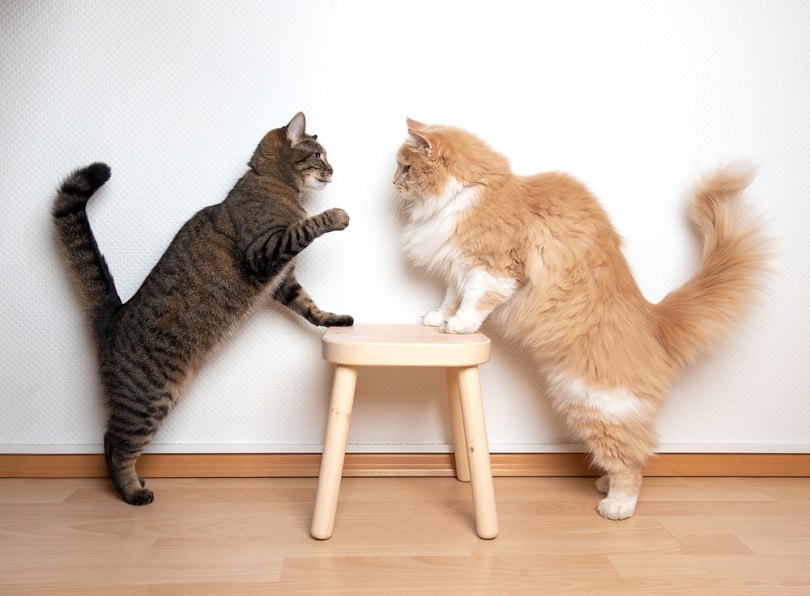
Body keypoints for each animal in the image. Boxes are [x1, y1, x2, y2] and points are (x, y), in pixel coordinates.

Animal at [52, 112, 352, 502]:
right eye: (318, 155)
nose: (332, 169)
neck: (272, 183)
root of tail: (114, 314)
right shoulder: (264, 252)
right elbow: (307, 226)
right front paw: (336, 216)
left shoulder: (283, 282)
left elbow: (308, 305)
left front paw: (333, 319)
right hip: (148, 399)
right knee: (116, 444)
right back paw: (132, 491)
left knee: (108, 442)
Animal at [394, 118, 768, 520]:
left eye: (406, 168)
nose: (392, 182)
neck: (470, 192)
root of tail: (655, 321)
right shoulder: (456, 267)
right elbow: (450, 298)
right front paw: (436, 320)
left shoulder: (493, 269)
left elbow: (473, 302)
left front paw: (460, 326)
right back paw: (604, 484)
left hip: (595, 404)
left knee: (632, 459)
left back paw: (617, 504)